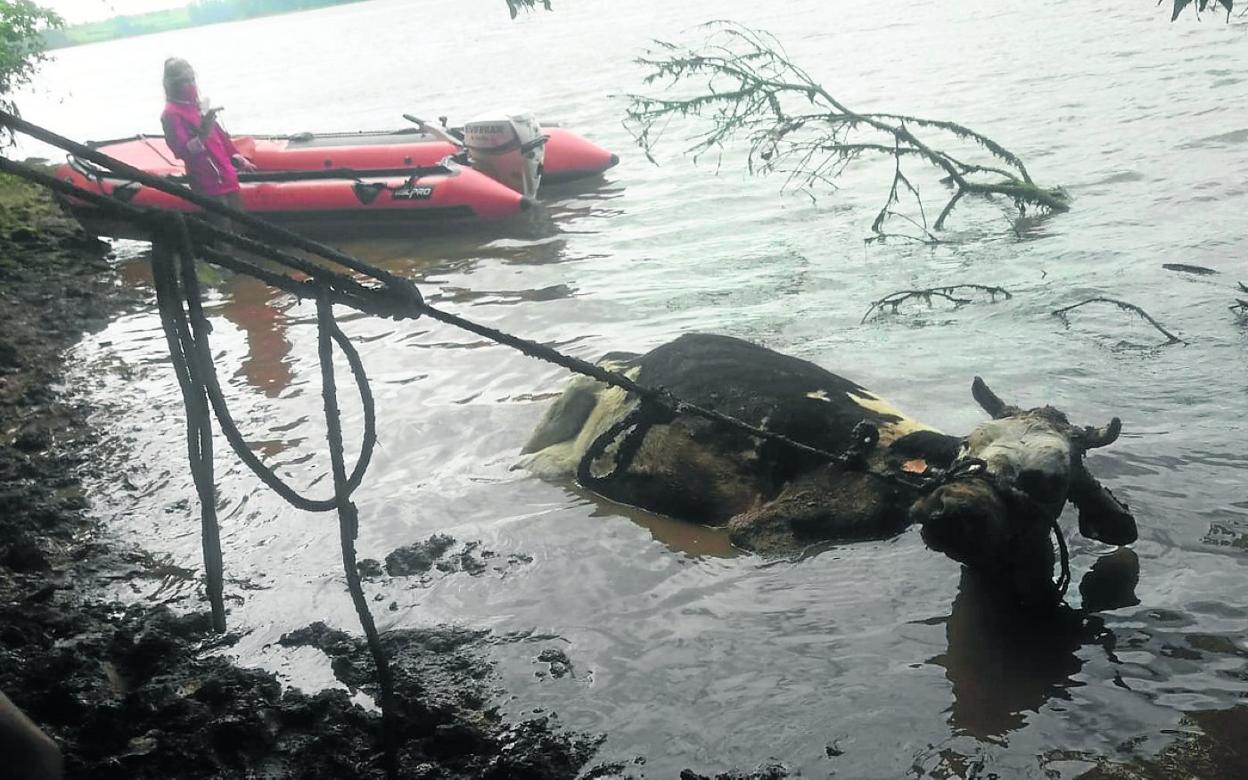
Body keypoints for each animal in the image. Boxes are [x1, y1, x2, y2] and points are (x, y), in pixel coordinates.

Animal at [521, 331, 1138, 606]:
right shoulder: (763, 529)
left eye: (1047, 479)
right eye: (969, 453)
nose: (952, 509)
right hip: (562, 442)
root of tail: (641, 357)